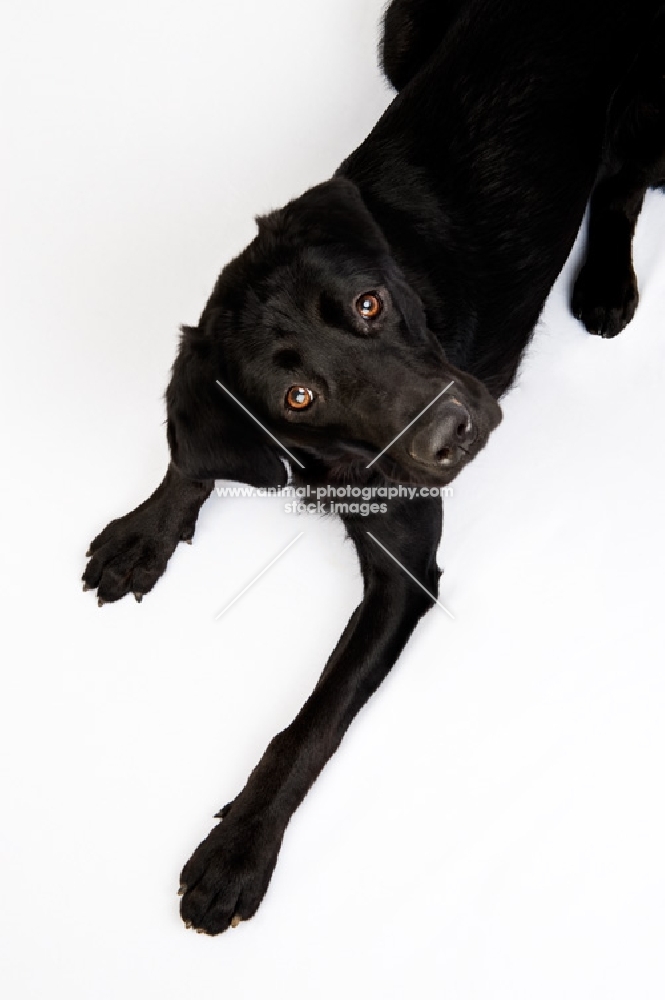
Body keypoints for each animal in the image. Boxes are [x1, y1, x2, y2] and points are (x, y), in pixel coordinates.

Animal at [81, 1, 664, 936]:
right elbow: (190, 453)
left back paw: (606, 281)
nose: (456, 432)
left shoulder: (404, 574)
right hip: (397, 39)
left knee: (621, 182)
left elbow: (309, 726)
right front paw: (147, 529)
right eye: (298, 397)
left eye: (368, 303)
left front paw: (239, 849)